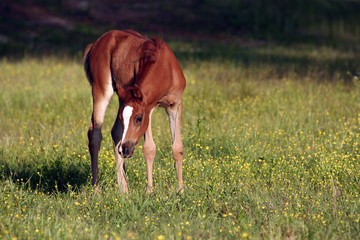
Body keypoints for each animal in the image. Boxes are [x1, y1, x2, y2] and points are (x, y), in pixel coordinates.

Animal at [83, 30, 186, 194]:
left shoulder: (175, 105)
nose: (125, 149)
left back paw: (124, 190)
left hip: (121, 97)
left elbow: (177, 147)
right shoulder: (149, 108)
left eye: (138, 118)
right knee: (95, 133)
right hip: (101, 89)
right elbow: (149, 148)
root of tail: (95, 44)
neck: (165, 68)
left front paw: (180, 191)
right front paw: (150, 191)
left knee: (115, 132)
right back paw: (97, 190)